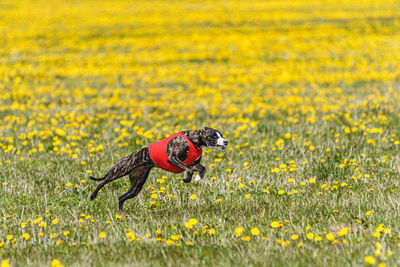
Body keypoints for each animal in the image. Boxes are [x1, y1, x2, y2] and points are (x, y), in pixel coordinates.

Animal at [90, 127, 228, 211]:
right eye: (214, 136)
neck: (195, 140)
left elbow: (202, 169)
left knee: (121, 197)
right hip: (120, 170)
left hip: (136, 185)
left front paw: (197, 178)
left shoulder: (193, 163)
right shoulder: (172, 158)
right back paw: (92, 195)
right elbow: (188, 169)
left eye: (221, 135)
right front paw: (187, 179)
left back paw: (120, 211)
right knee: (103, 182)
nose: (226, 142)